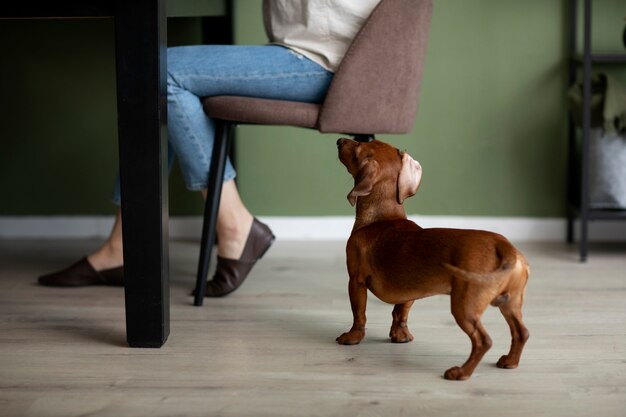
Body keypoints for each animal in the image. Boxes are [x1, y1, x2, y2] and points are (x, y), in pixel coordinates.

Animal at [336, 138, 528, 378]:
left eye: (357, 147)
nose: (339, 140)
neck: (382, 217)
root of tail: (504, 246)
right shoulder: (408, 292)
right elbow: (400, 313)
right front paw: (400, 336)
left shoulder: (356, 281)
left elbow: (359, 314)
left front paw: (352, 337)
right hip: (510, 303)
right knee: (521, 333)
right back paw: (510, 361)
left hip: (465, 306)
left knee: (483, 341)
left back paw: (460, 373)